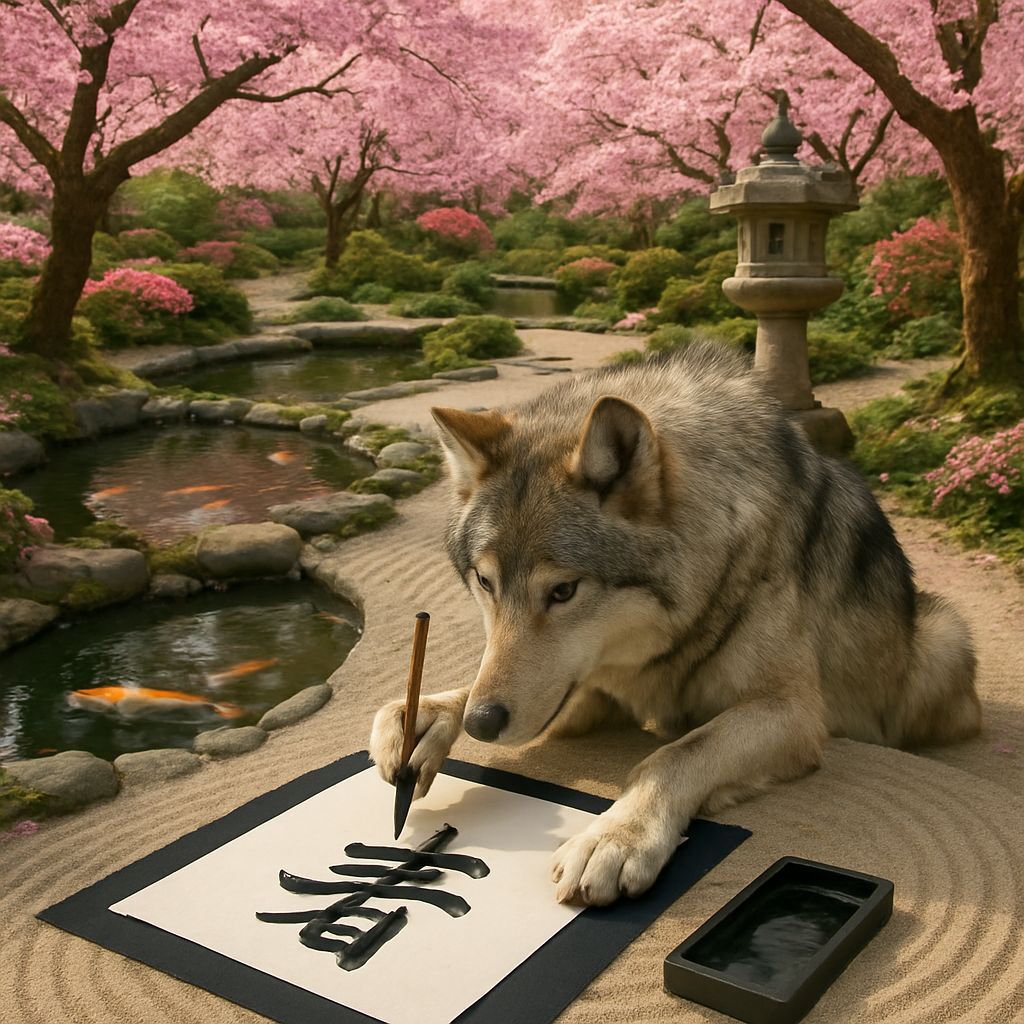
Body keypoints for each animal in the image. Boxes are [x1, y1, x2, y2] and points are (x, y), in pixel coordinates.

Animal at [370, 343, 980, 906]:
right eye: (485, 582)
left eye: (562, 591)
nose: (483, 725)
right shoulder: (594, 689)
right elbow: (469, 685)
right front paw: (421, 718)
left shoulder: (794, 711)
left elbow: (677, 753)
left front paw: (615, 836)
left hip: (943, 638)